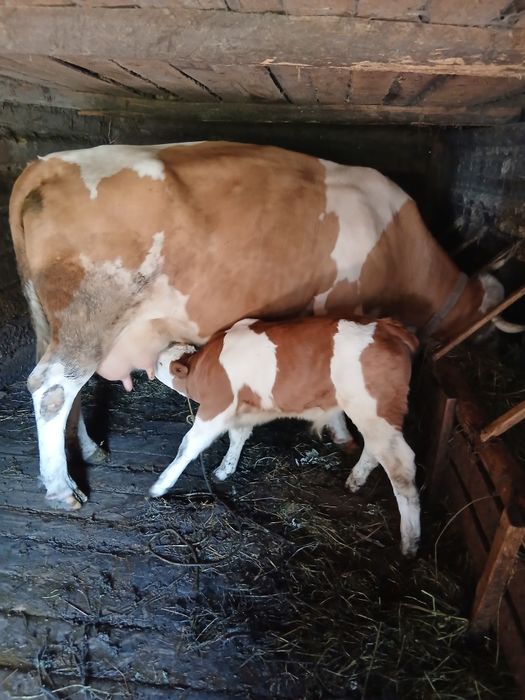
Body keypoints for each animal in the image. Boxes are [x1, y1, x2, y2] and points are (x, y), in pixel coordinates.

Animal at [9, 140, 505, 510]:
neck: (394, 238)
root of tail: (46, 164)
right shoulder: (342, 309)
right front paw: (340, 432)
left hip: (53, 320)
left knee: (63, 386)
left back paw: (88, 450)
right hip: (91, 313)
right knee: (53, 388)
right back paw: (62, 489)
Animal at [151, 316, 420, 556]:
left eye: (161, 363)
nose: (151, 364)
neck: (205, 367)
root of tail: (386, 326)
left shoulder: (217, 405)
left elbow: (190, 445)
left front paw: (162, 484)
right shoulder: (244, 409)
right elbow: (238, 436)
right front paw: (225, 469)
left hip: (374, 410)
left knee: (401, 465)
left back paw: (410, 542)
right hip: (372, 415)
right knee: (375, 450)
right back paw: (355, 480)